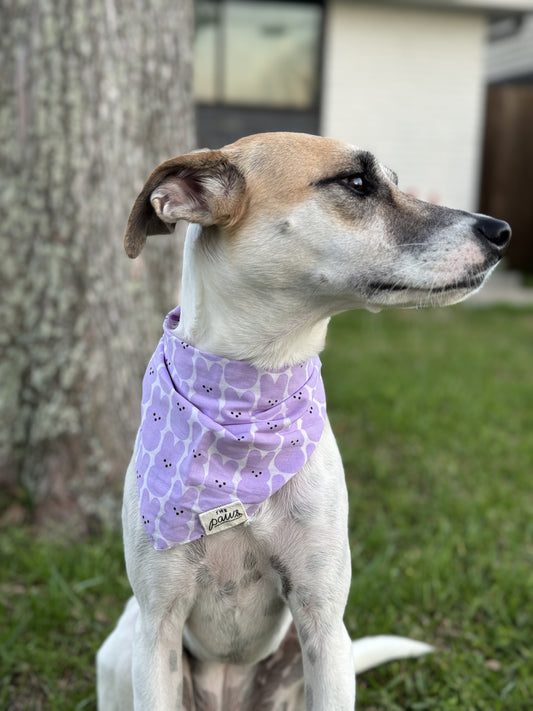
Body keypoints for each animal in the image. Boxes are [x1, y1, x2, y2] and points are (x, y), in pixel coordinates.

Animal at [96, 131, 512, 708]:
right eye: (356, 182)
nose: (502, 232)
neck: (247, 405)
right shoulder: (158, 624)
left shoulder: (322, 620)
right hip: (123, 648)